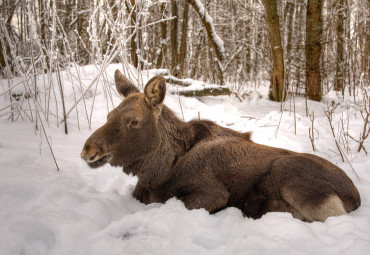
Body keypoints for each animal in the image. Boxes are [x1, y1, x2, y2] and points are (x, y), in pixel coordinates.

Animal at [81, 70, 362, 222]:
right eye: (109, 115)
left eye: (134, 121)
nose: (88, 150)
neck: (159, 171)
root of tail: (355, 197)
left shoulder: (213, 193)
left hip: (294, 176)